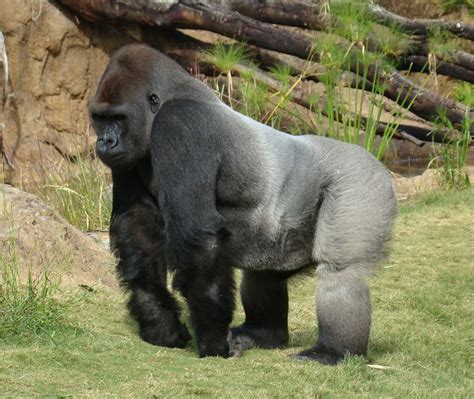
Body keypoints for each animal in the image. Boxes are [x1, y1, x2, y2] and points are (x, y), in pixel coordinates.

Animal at [89, 43, 396, 366]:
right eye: (99, 118)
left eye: (119, 118)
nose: (105, 142)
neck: (172, 95)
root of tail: (376, 161)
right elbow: (136, 227)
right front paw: (159, 322)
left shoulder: (180, 124)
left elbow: (197, 239)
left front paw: (212, 340)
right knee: (264, 273)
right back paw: (263, 334)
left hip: (360, 179)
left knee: (341, 271)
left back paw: (334, 351)